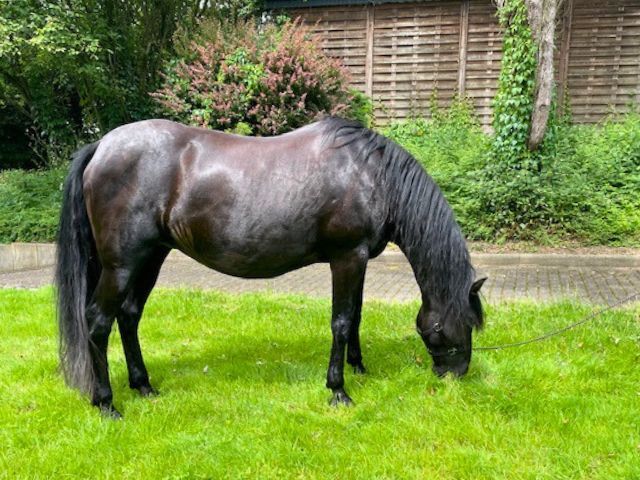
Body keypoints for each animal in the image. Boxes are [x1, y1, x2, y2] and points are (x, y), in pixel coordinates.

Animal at [56, 117, 484, 416]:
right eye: (460, 322)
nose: (457, 375)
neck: (369, 174)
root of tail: (101, 145)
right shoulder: (348, 257)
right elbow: (342, 321)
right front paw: (338, 390)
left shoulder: (358, 259)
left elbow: (356, 316)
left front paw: (359, 368)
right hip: (121, 265)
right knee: (97, 322)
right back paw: (106, 403)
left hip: (151, 257)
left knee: (128, 316)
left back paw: (143, 387)